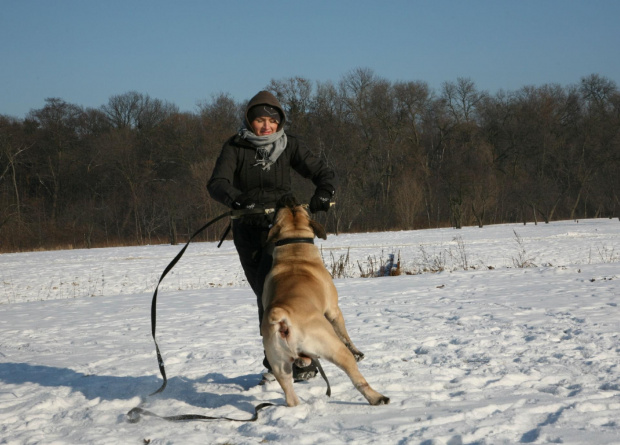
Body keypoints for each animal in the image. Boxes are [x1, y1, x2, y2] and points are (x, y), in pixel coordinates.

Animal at [260, 195, 388, 406]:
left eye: (283, 208)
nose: (287, 198)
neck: (294, 252)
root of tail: (282, 315)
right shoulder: (333, 310)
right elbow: (345, 334)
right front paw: (358, 352)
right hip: (333, 347)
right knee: (357, 378)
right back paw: (377, 397)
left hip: (278, 363)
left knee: (290, 395)